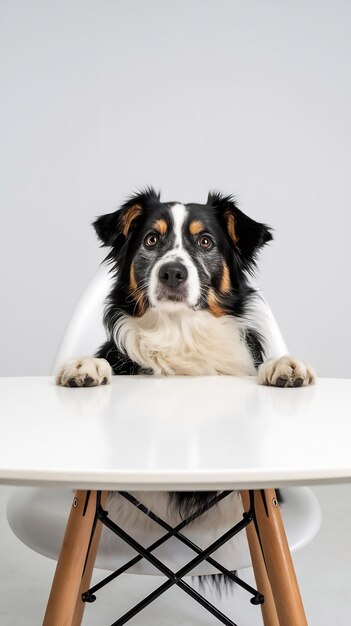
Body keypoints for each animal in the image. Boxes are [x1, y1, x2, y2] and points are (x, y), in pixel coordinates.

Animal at [55, 185, 316, 580]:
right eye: (151, 239)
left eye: (205, 241)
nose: (172, 273)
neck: (180, 333)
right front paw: (87, 366)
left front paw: (284, 367)